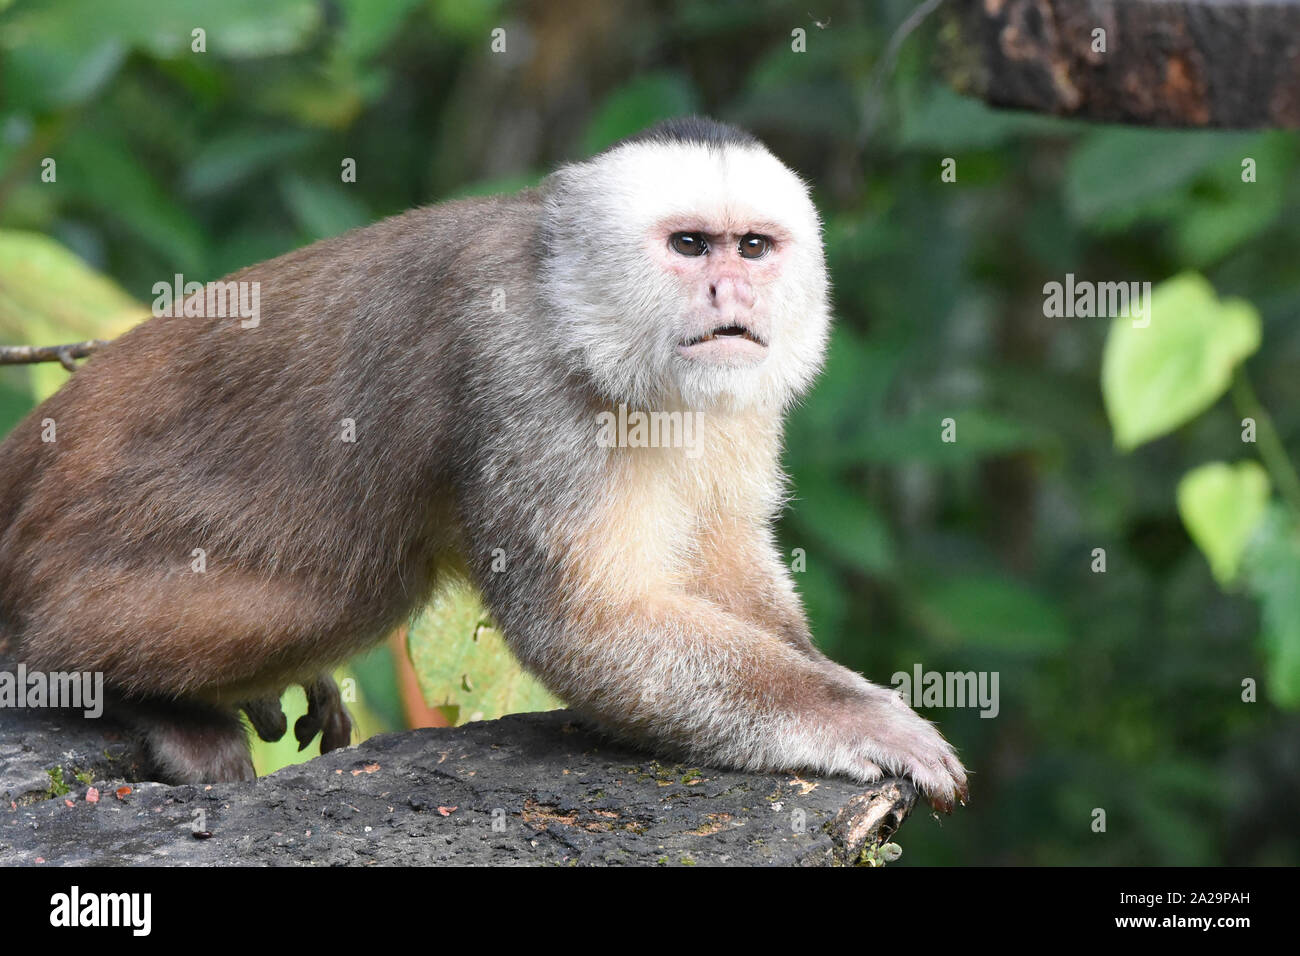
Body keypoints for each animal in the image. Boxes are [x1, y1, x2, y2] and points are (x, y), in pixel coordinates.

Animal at [0, 117, 967, 809]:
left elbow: (719, 558)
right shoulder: (522, 368)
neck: (581, 316)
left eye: (754, 248)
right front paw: (855, 717)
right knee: (361, 584)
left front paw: (835, 677)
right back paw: (125, 693)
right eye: (691, 246)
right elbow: (587, 624)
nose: (729, 293)